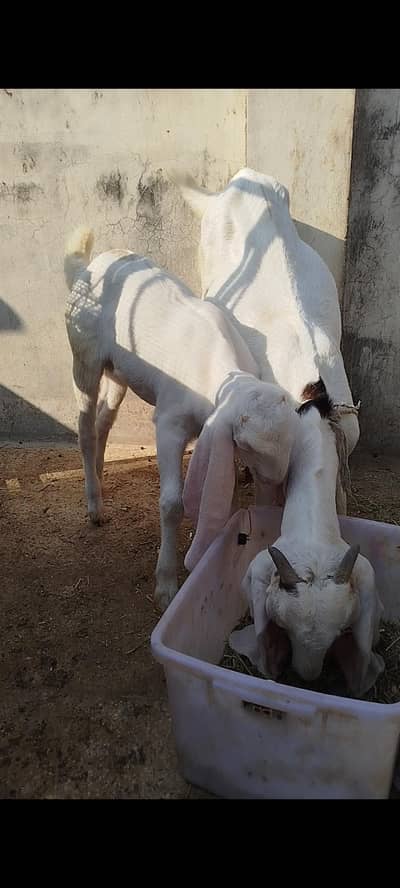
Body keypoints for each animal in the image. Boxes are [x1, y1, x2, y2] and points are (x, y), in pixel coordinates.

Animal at [63, 227, 298, 610]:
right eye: (247, 444)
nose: (276, 481)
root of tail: (92, 265)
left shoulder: (212, 430)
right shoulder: (169, 424)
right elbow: (172, 504)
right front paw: (166, 583)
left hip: (118, 373)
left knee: (103, 423)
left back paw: (98, 478)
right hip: (84, 359)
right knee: (84, 429)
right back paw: (94, 506)